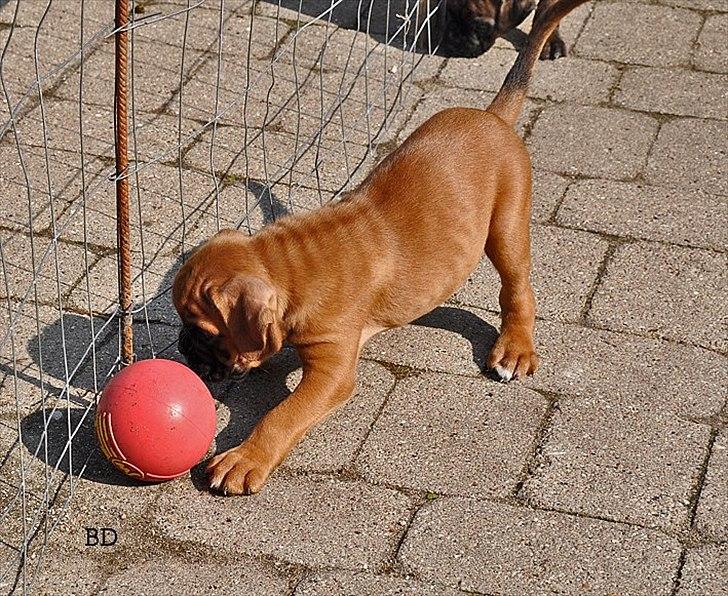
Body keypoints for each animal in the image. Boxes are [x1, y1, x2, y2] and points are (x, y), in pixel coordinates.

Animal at [173, 0, 588, 494]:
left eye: (202, 331)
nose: (181, 348)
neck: (289, 263)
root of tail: (492, 115)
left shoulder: (333, 371)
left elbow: (283, 415)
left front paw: (244, 459)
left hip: (506, 225)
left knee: (517, 288)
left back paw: (515, 348)